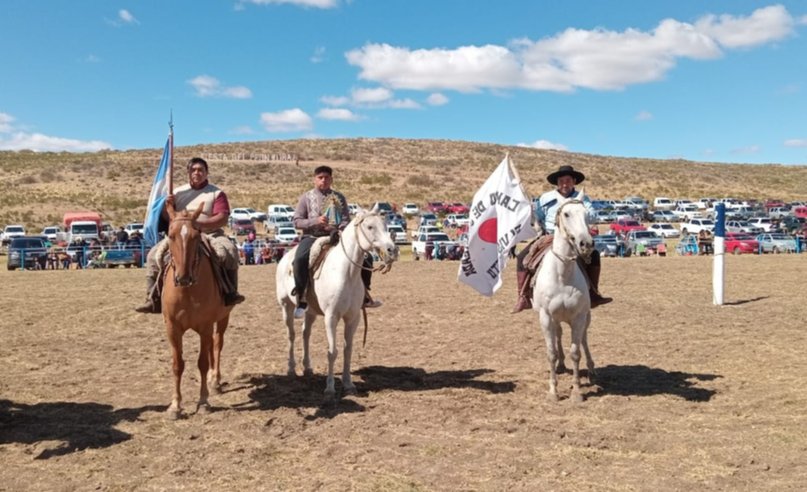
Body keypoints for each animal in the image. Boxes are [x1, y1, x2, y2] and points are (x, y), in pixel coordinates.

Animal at [163, 202, 234, 418]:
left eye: (196, 235)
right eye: (171, 235)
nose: (183, 277)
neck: (187, 290)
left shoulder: (205, 325)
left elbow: (201, 363)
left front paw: (203, 401)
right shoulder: (172, 328)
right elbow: (177, 365)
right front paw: (175, 405)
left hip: (223, 318)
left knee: (217, 344)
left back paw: (215, 380)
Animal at [274, 209, 398, 402]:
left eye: (385, 225)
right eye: (370, 226)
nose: (392, 250)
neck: (346, 273)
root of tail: (284, 258)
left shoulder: (353, 318)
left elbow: (348, 350)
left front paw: (349, 385)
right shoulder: (331, 317)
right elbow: (332, 352)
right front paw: (330, 389)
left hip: (310, 311)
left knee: (305, 334)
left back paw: (307, 367)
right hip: (286, 306)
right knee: (291, 335)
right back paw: (291, 368)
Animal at [532, 194, 596, 402]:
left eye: (587, 214)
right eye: (566, 214)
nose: (586, 244)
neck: (562, 275)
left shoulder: (578, 317)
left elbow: (575, 352)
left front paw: (576, 391)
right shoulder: (545, 317)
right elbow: (551, 353)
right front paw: (553, 391)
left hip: (586, 317)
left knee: (584, 338)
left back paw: (591, 369)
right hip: (555, 319)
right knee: (559, 335)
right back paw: (560, 365)